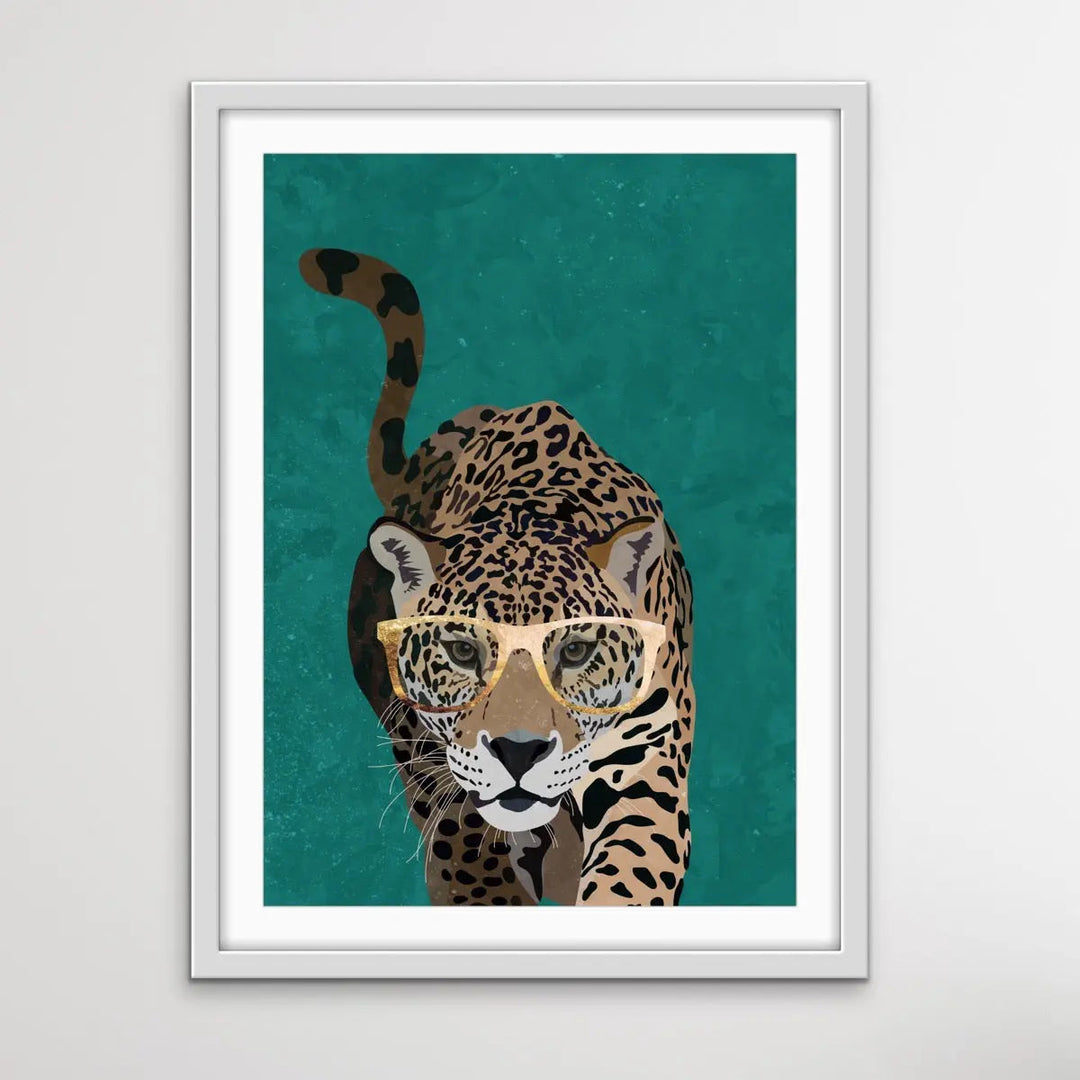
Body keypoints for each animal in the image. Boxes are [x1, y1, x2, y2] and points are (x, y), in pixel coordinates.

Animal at [298, 247, 696, 905]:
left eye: (577, 650)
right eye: (462, 651)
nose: (519, 751)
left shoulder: (646, 762)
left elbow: (630, 874)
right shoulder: (436, 767)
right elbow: (470, 860)